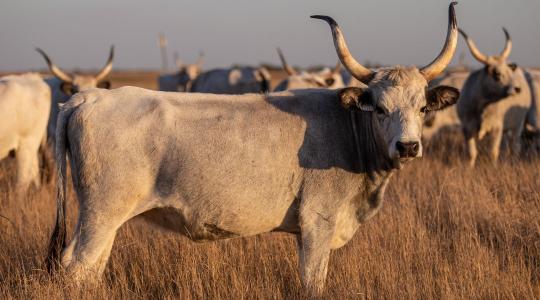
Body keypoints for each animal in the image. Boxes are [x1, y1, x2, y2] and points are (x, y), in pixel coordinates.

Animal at [47, 2, 460, 298]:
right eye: (379, 108)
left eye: (422, 108)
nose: (408, 146)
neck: (349, 128)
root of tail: (87, 97)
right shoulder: (317, 223)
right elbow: (313, 283)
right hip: (101, 213)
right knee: (77, 266)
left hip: (105, 219)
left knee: (91, 269)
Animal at [456, 27, 532, 166]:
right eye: (497, 73)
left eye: (509, 72)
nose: (517, 89)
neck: (483, 105)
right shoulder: (467, 128)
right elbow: (471, 153)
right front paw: (469, 168)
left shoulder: (496, 128)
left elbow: (493, 151)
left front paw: (493, 167)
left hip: (517, 125)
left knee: (515, 146)